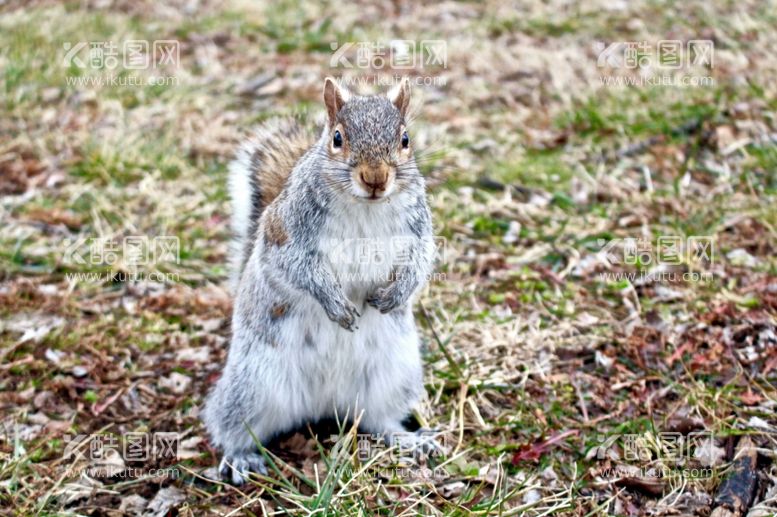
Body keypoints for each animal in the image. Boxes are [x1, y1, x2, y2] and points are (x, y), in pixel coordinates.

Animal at [203, 76, 436, 484]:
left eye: (405, 139)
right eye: (337, 138)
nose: (375, 179)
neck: (366, 206)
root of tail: (324, 403)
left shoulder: (418, 231)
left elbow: (420, 261)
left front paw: (396, 294)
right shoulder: (286, 234)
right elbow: (298, 269)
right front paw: (336, 304)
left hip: (391, 379)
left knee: (380, 419)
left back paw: (406, 439)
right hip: (251, 385)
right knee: (232, 425)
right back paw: (241, 456)